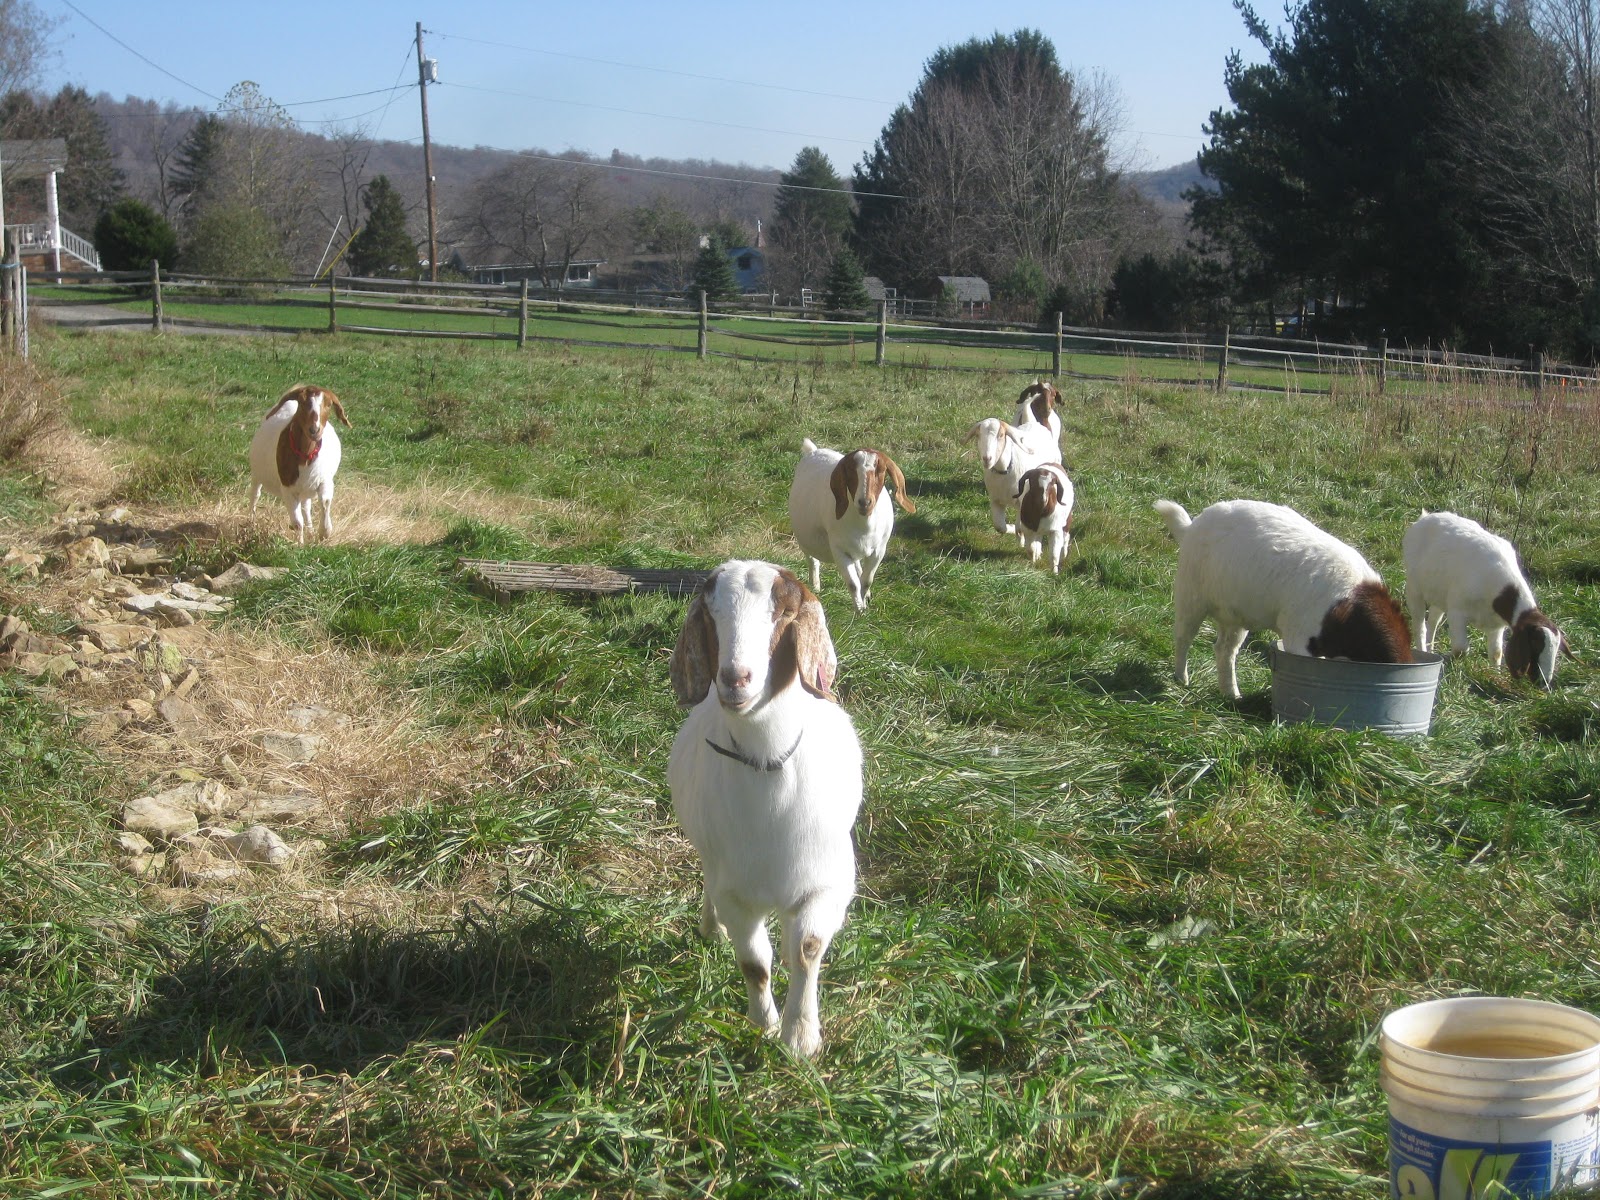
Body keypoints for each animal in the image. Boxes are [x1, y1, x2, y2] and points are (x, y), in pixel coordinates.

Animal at [249, 384, 350, 543]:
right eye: (302, 403)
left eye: (329, 404)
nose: (314, 430)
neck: (306, 456)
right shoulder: (288, 488)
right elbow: (297, 522)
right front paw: (300, 544)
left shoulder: (324, 481)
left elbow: (325, 503)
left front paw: (324, 533)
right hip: (257, 474)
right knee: (255, 495)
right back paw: (251, 523)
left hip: (306, 487)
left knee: (306, 507)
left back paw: (311, 531)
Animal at [667, 559, 862, 1058]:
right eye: (710, 613)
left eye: (785, 613)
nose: (735, 679)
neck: (767, 762)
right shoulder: (737, 893)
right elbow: (755, 963)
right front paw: (765, 1026)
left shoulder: (826, 884)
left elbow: (806, 949)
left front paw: (801, 1037)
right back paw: (709, 928)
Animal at [789, 439, 915, 613]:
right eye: (849, 470)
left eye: (881, 470)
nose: (864, 502)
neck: (864, 525)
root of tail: (813, 451)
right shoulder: (839, 550)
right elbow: (853, 584)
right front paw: (859, 610)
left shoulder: (879, 550)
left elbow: (866, 580)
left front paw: (864, 602)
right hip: (806, 540)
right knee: (813, 560)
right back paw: (815, 586)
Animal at [1153, 498, 1412, 699]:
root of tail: (1192, 525)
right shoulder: (1299, 639)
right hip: (1191, 595)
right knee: (1183, 637)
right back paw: (1181, 679)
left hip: (1236, 614)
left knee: (1225, 650)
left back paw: (1232, 694)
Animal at [1402, 510, 1565, 688]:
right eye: (1535, 644)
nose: (1544, 682)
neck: (1500, 591)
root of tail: (1426, 517)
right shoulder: (1457, 612)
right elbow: (1461, 649)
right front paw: (1449, 662)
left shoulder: (1496, 626)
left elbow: (1496, 653)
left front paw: (1495, 676)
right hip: (1414, 589)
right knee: (1419, 625)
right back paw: (1423, 649)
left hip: (1440, 593)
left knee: (1433, 620)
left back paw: (1430, 649)